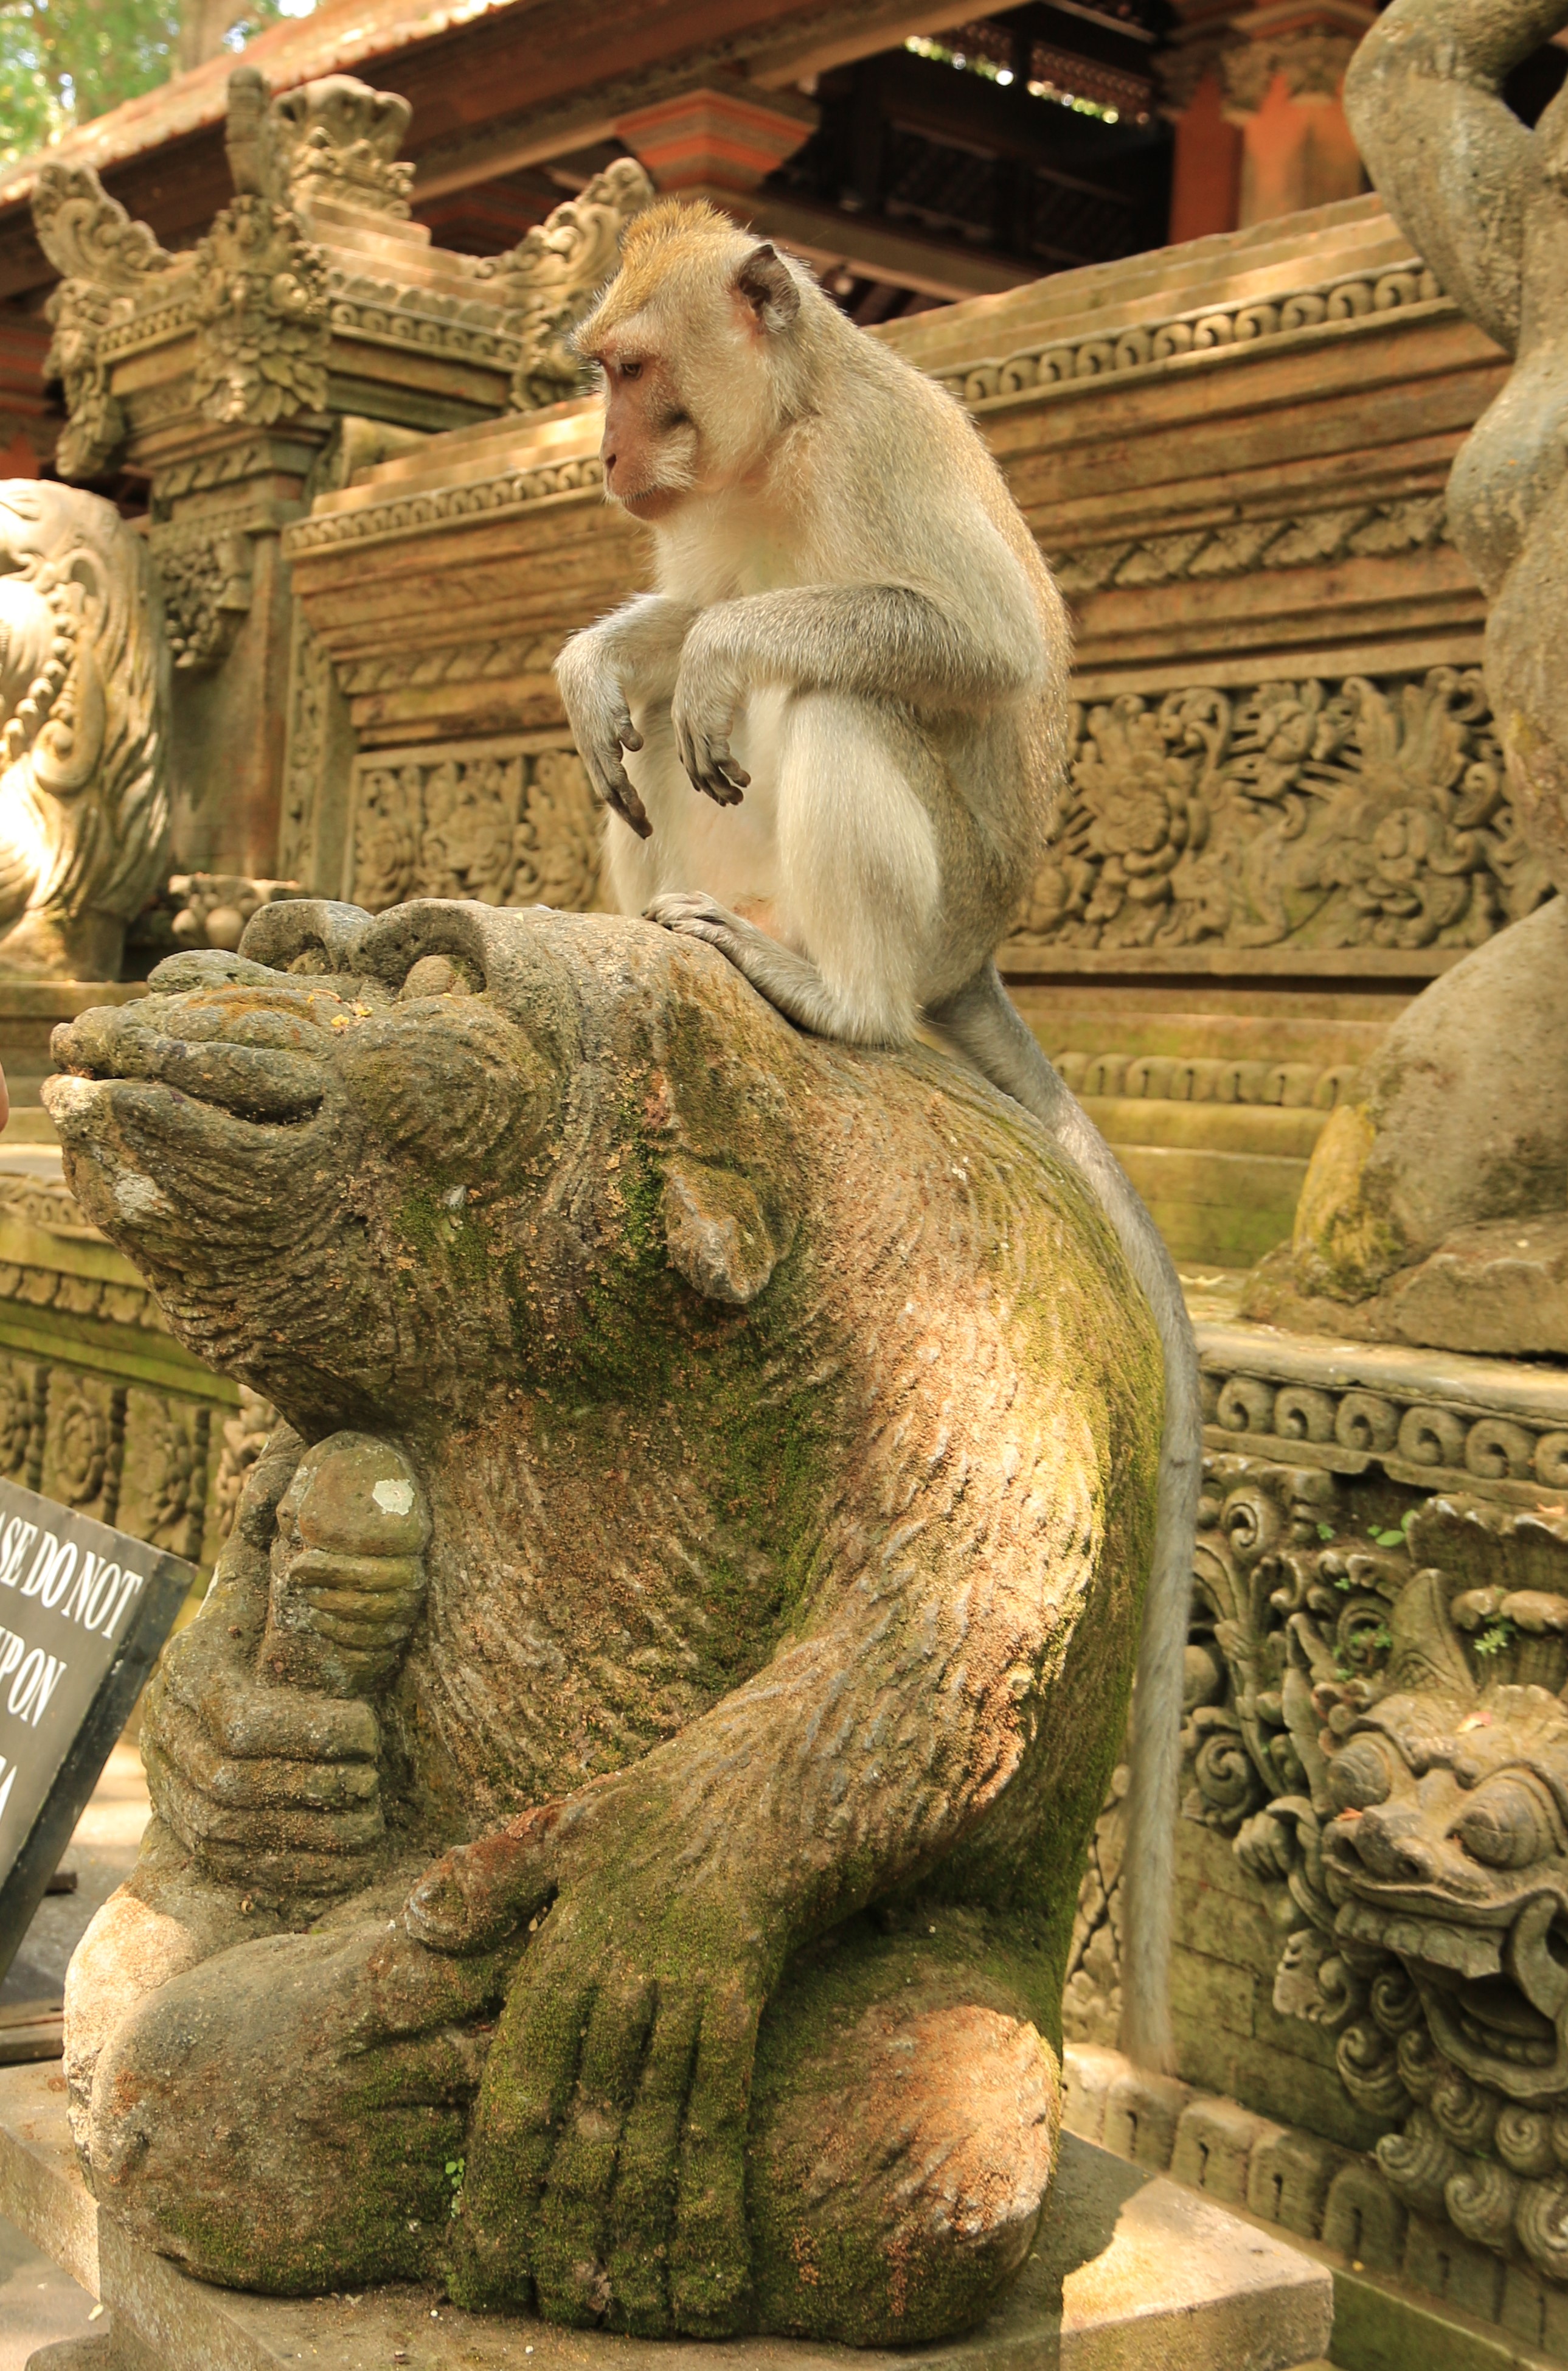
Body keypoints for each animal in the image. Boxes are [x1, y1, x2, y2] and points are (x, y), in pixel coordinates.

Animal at [553, 199, 1199, 2071]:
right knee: (664, 761)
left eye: (633, 370)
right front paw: (598, 658)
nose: (607, 456)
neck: (775, 440)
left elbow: (959, 646)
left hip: (926, 904)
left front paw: (708, 652)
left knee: (828, 699)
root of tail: (972, 953)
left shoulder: (877, 463)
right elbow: (667, 637)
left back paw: (829, 993)